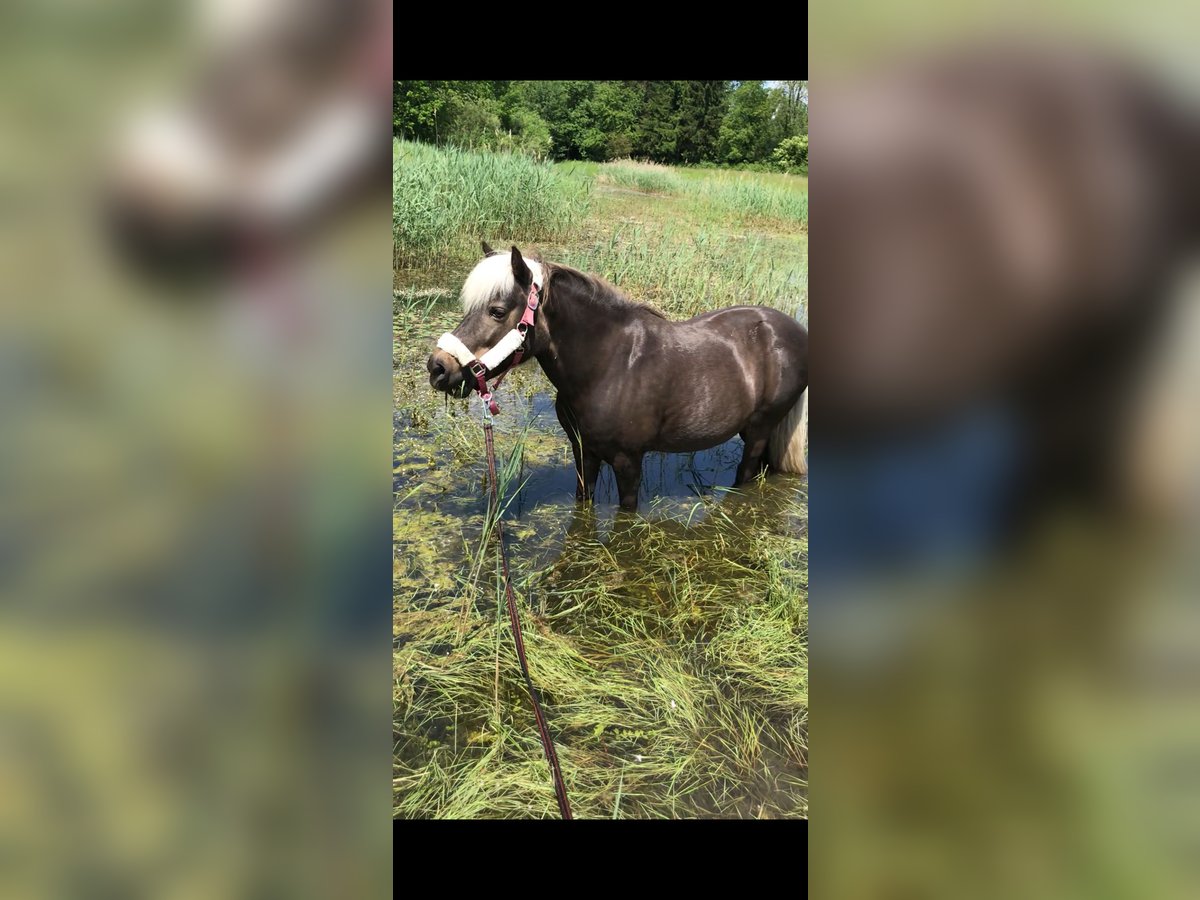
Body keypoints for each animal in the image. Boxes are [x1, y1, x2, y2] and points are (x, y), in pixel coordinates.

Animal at [424, 240, 806, 511]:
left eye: (497, 311)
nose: (438, 367)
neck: (609, 366)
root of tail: (794, 331)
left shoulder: (628, 462)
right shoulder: (584, 452)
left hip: (759, 430)